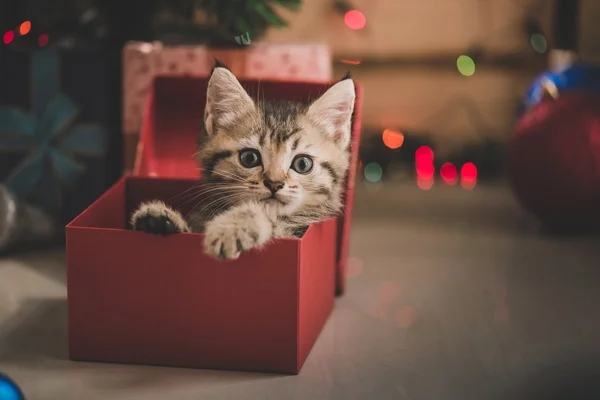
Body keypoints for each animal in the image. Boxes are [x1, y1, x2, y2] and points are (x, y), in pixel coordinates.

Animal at [131, 62, 356, 260]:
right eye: (249, 158)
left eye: (302, 164)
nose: (274, 184)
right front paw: (159, 218)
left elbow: (267, 217)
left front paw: (230, 228)